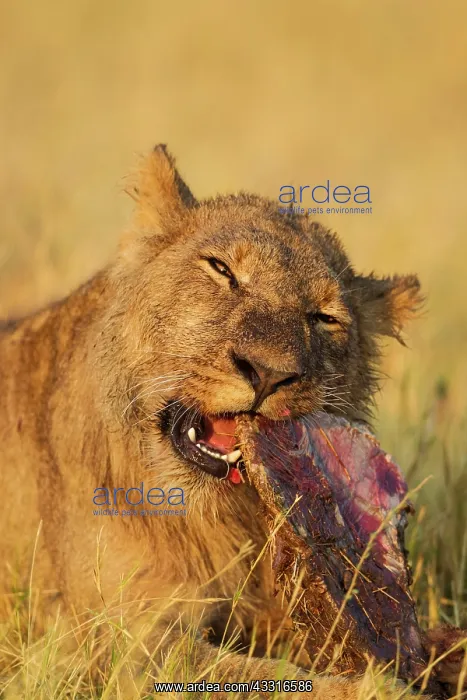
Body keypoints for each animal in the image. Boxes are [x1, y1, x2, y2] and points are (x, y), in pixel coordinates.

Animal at [0, 145, 464, 699]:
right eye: (221, 270)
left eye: (324, 318)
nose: (267, 373)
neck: (215, 518)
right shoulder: (125, 647)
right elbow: (265, 678)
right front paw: (381, 688)